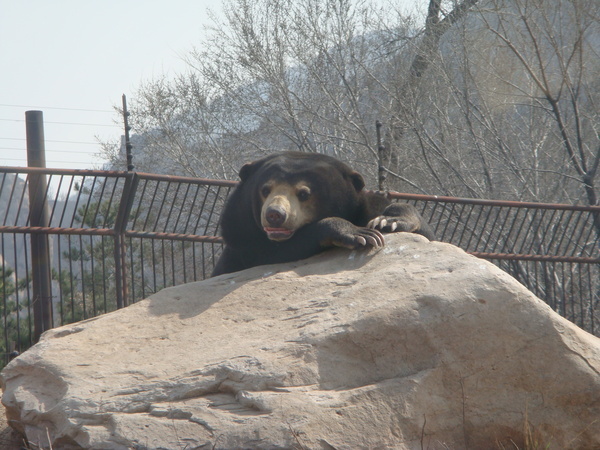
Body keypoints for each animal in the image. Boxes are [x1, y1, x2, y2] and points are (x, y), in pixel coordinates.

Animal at [212, 153, 436, 276]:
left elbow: (426, 234)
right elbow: (277, 253)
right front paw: (360, 235)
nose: (275, 214)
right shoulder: (244, 243)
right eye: (265, 189)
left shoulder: (364, 207)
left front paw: (389, 221)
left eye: (304, 193)